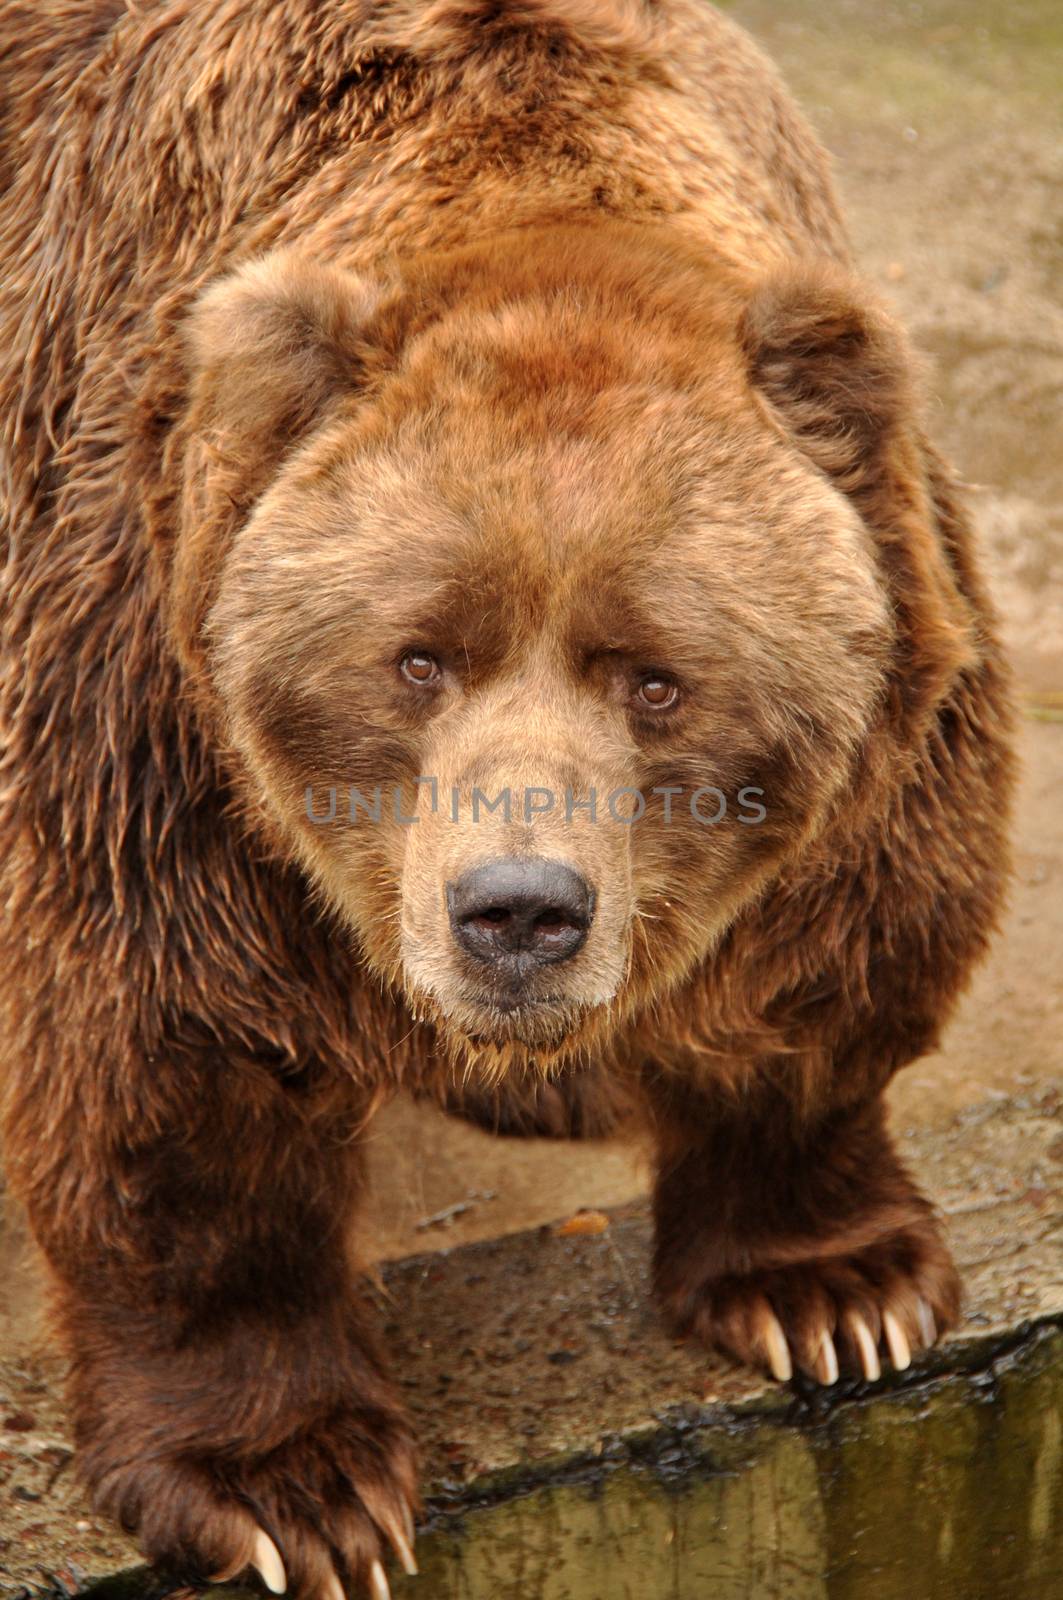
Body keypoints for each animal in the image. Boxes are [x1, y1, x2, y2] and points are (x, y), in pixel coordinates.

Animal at [0, 3, 1011, 1600]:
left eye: (653, 676)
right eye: (418, 655)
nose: (516, 911)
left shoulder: (897, 675)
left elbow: (832, 968)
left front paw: (835, 1290)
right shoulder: (156, 687)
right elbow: (174, 1046)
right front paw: (293, 1485)